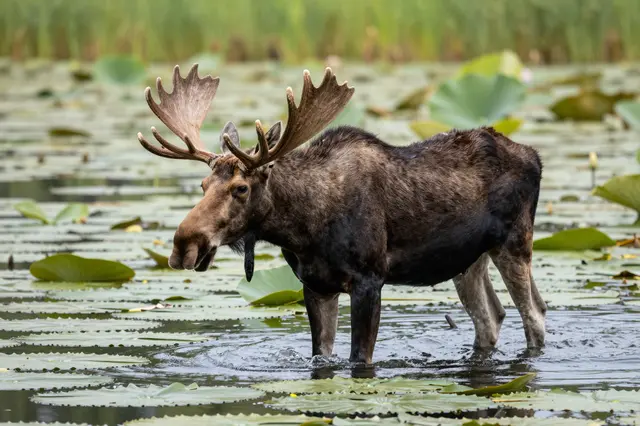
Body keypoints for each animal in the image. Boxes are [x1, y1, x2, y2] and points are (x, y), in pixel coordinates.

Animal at [137, 64, 546, 364]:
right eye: (203, 185)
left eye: (241, 188)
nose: (183, 245)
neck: (303, 229)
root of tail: (535, 156)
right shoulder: (315, 285)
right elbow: (323, 354)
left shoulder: (370, 279)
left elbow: (358, 359)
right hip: (468, 260)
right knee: (491, 318)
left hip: (515, 242)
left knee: (535, 317)